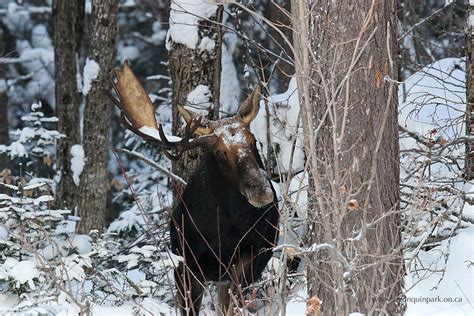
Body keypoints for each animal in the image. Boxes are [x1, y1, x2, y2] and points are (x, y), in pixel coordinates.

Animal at [109, 61, 280, 314]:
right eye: (219, 152)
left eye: (253, 141)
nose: (261, 191)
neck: (225, 231)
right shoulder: (185, 266)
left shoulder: (248, 260)